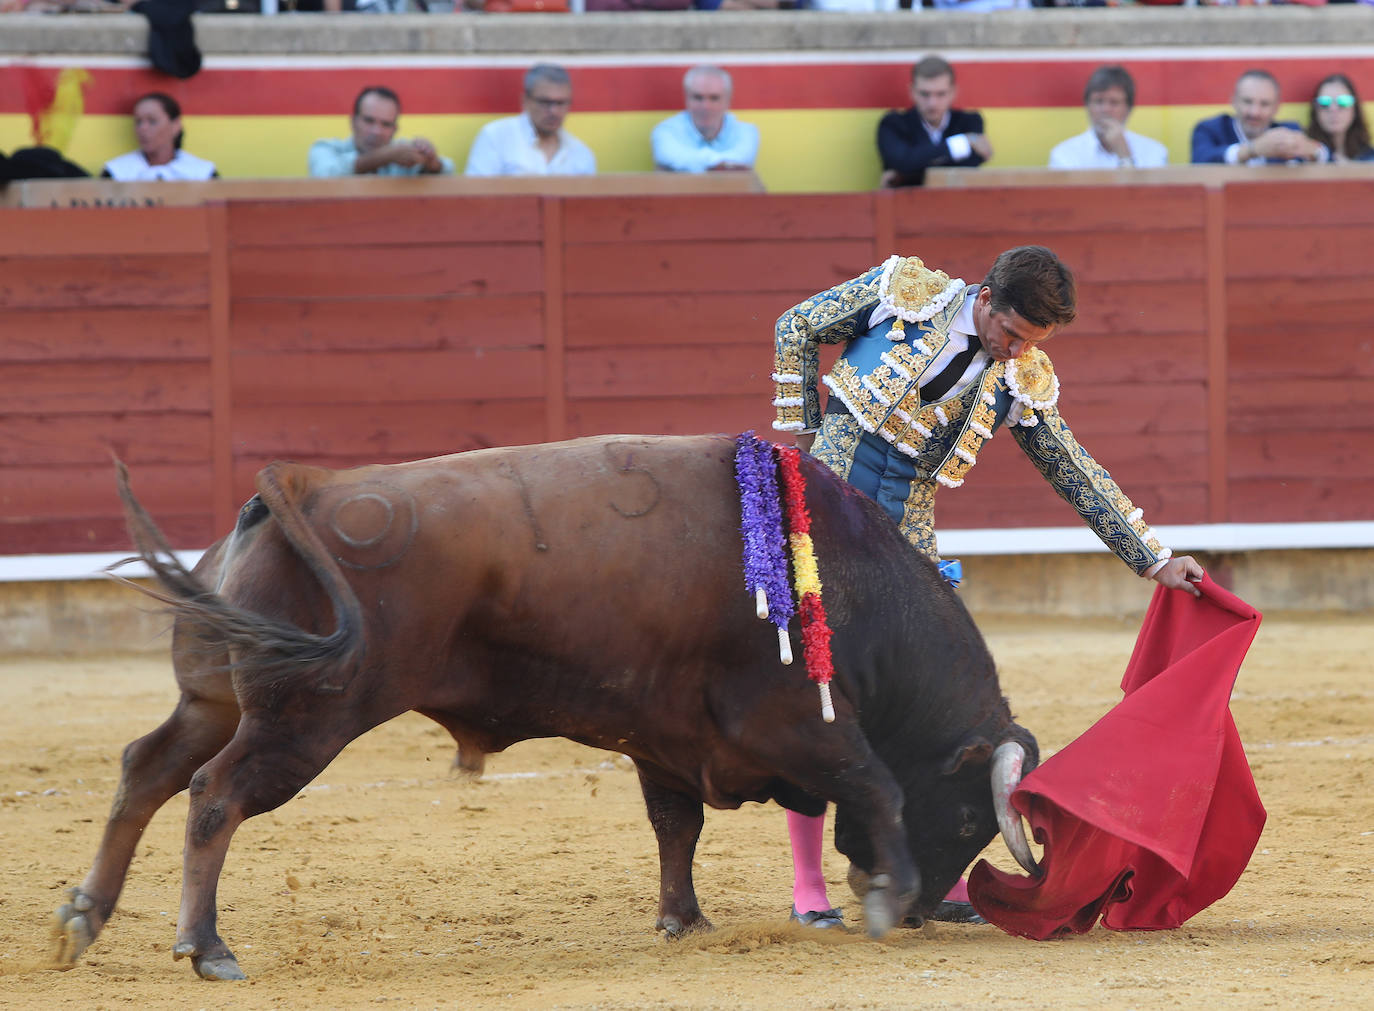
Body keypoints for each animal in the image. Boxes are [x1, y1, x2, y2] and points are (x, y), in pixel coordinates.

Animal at [53, 431, 1038, 978]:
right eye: (966, 817)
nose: (929, 910)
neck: (835, 573)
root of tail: (302, 488)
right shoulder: (796, 720)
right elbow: (875, 783)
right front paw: (887, 895)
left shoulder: (665, 738)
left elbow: (676, 824)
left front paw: (683, 920)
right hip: (303, 721)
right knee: (214, 794)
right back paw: (205, 946)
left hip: (215, 701)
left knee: (146, 769)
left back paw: (82, 917)